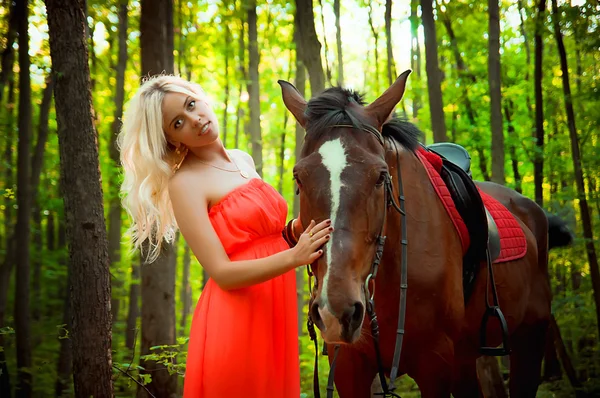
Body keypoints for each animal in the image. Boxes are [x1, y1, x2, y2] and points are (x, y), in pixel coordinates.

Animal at [278, 70, 568, 396]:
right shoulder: (348, 368)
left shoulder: (435, 363)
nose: (337, 311)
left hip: (529, 339)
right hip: (464, 359)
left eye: (380, 176)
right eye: (298, 177)